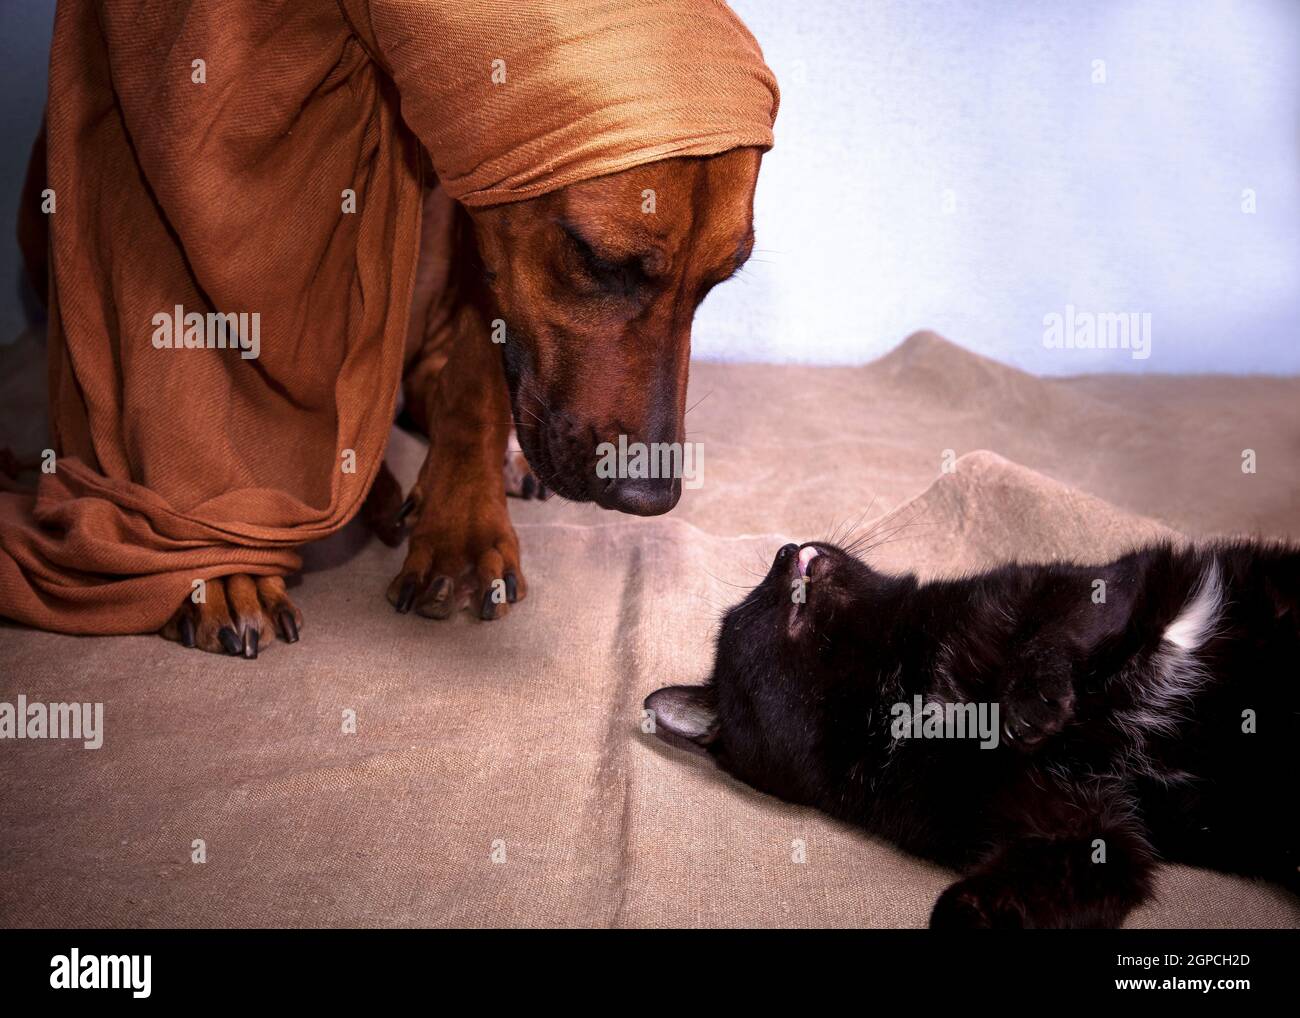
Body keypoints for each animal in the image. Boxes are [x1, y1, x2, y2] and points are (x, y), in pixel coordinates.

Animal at [650, 540, 1300, 930]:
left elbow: (1050, 631)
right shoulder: (1081, 829)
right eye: (749, 605)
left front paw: (1033, 704)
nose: (786, 546)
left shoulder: (1080, 589)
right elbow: (1003, 895)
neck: (903, 691)